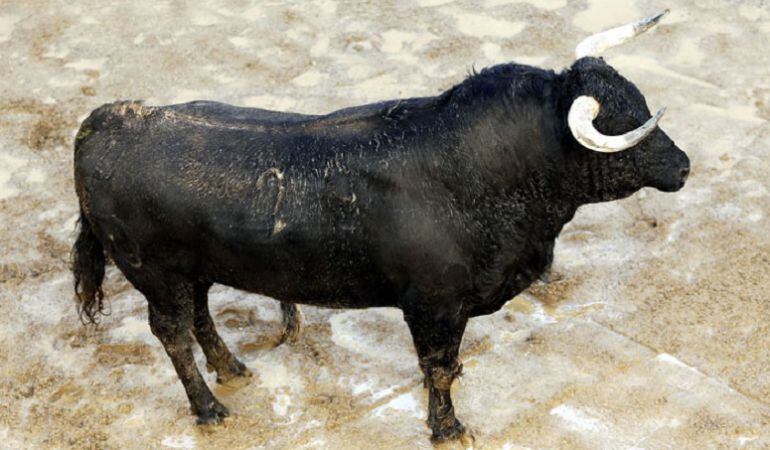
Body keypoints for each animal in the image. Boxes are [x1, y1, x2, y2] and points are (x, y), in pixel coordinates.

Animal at [70, 10, 684, 442]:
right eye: (625, 123)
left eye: (641, 103)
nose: (683, 166)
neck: (489, 168)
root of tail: (103, 122)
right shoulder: (434, 306)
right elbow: (441, 369)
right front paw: (449, 430)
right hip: (154, 274)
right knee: (173, 334)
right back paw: (210, 409)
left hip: (191, 270)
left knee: (200, 318)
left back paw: (234, 370)